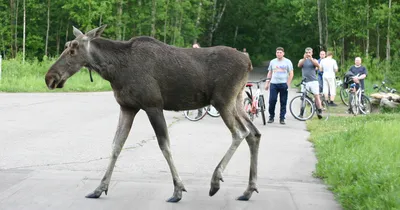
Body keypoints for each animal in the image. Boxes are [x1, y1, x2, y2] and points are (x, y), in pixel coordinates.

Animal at [45, 25, 260, 203]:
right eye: (66, 46)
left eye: (73, 50)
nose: (50, 77)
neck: (114, 71)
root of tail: (248, 62)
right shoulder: (127, 107)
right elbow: (116, 146)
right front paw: (99, 188)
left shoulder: (153, 105)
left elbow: (164, 146)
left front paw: (177, 190)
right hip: (237, 100)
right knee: (254, 133)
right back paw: (248, 190)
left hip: (223, 101)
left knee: (240, 133)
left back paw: (215, 181)